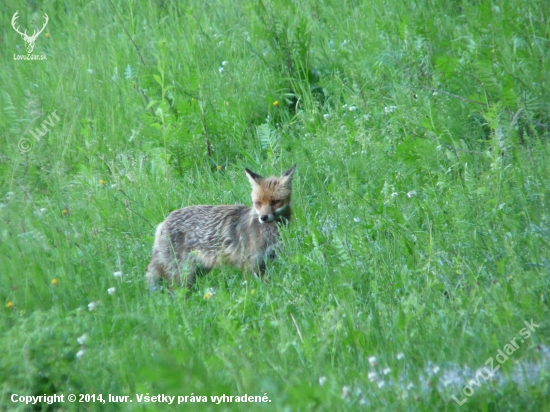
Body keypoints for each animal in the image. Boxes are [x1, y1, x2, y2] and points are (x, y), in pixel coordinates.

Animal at [144, 164, 296, 290]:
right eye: (258, 203)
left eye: (275, 202)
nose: (263, 218)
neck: (270, 233)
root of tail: (163, 223)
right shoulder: (250, 263)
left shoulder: (268, 259)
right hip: (182, 273)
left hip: (198, 271)